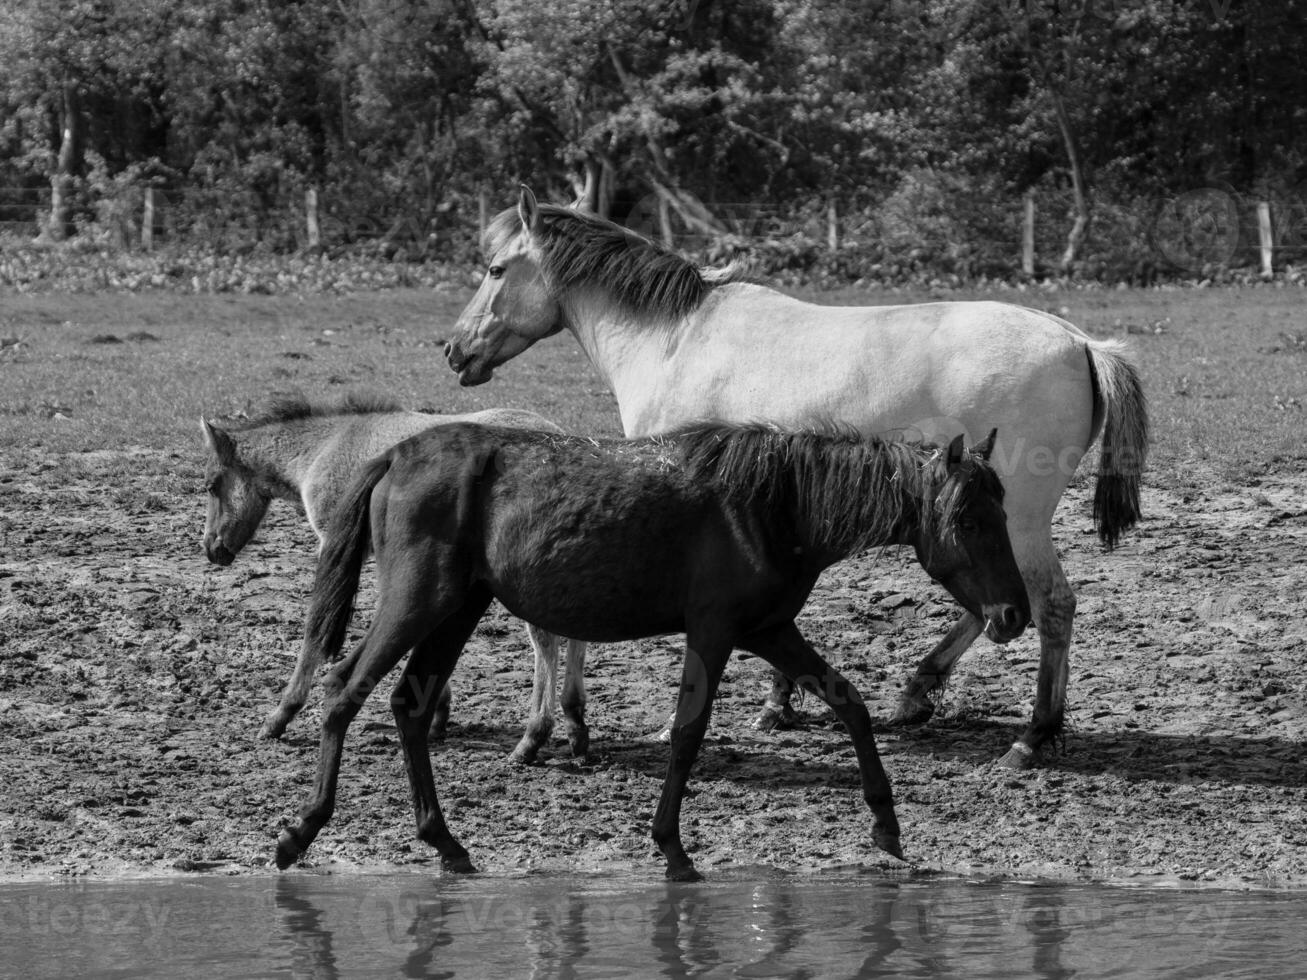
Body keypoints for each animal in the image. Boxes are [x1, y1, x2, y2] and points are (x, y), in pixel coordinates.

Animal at [196, 391, 590, 768]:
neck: (325, 446)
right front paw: (437, 713)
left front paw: (279, 716)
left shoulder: (335, 542)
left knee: (545, 639)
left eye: (211, 485)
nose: (211, 548)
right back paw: (575, 726)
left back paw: (534, 736)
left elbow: (317, 625)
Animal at [275, 423, 1029, 883]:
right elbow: (689, 734)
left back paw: (445, 843)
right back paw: (303, 830)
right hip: (418, 604)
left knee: (408, 704)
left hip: (456, 609)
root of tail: (397, 455)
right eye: (967, 519)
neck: (775, 504)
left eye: (1001, 511)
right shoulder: (715, 631)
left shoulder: (769, 629)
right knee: (344, 690)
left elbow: (850, 705)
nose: (1012, 614)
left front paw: (885, 825)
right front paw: (672, 848)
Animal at [444, 184, 1150, 768]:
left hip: (1015, 518)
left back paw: (1032, 736)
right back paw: (918, 693)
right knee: (989, 604)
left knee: (1048, 605)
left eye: (496, 269)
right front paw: (777, 703)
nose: (454, 350)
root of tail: (1081, 343)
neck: (674, 340)